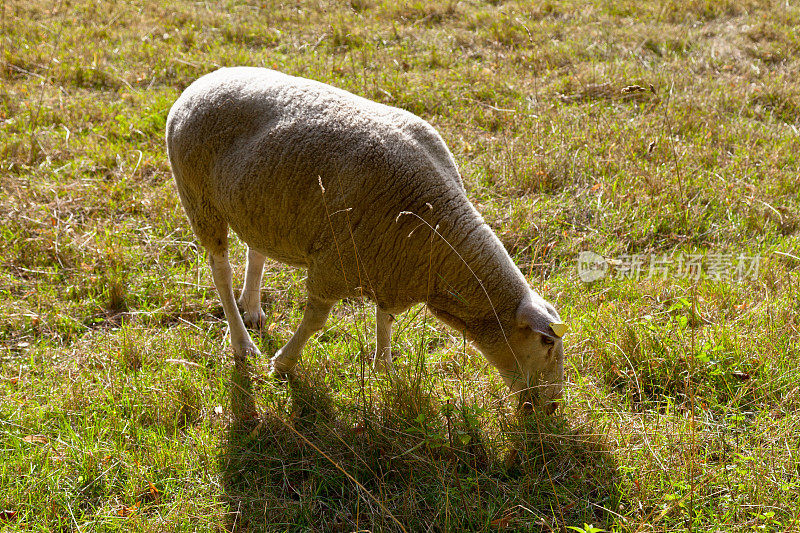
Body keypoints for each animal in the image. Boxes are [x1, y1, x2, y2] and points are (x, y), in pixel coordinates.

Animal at [166, 66, 568, 414]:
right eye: (547, 344)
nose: (552, 407)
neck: (440, 240)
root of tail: (204, 79)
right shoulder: (334, 264)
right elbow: (315, 322)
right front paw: (283, 365)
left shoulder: (390, 264)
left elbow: (385, 318)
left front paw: (384, 368)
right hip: (198, 198)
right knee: (221, 271)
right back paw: (241, 343)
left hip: (256, 204)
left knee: (257, 251)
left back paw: (251, 309)